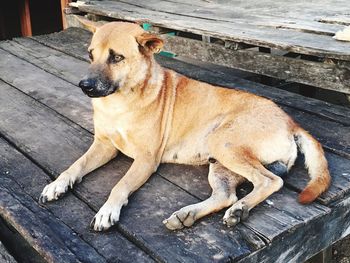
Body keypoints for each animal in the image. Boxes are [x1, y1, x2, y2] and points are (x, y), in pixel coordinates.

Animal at [39, 23, 330, 233]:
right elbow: (75, 165)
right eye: (90, 54)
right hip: (221, 163)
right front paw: (57, 184)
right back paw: (190, 214)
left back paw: (239, 209)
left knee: (270, 181)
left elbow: (120, 185)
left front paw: (107, 210)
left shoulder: (145, 159)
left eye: (117, 57)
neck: (119, 102)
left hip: (224, 144)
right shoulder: (104, 146)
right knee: (226, 195)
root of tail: (291, 122)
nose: (84, 86)